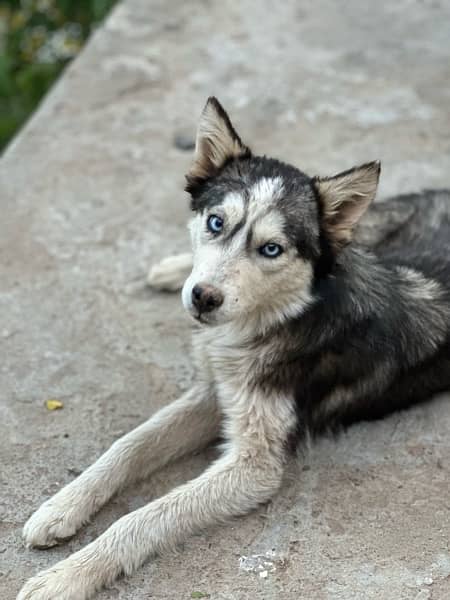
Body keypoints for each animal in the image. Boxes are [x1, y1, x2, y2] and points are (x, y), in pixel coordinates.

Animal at [18, 96, 450, 596]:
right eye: (215, 222)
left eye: (271, 249)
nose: (202, 297)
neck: (279, 317)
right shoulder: (214, 389)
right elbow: (128, 447)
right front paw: (61, 506)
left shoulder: (255, 465)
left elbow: (146, 515)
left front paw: (66, 576)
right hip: (372, 228)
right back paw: (171, 269)